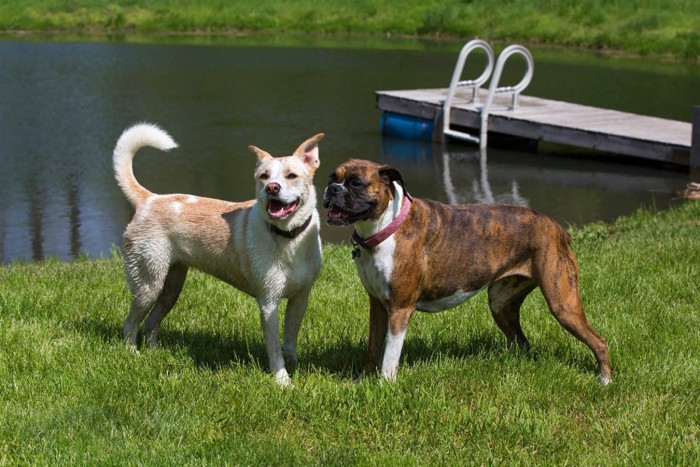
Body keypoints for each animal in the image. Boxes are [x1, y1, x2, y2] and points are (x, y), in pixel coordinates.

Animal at [113, 122, 326, 386]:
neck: (288, 237)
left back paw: (154, 353)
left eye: (292, 176)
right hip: (148, 283)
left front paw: (295, 365)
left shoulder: (301, 298)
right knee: (130, 324)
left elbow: (290, 341)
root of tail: (148, 200)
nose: (271, 188)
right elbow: (275, 348)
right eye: (263, 176)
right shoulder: (268, 302)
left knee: (152, 322)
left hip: (172, 285)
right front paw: (282, 381)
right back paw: (133, 355)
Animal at [326, 159, 608, 386]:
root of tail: (557, 227)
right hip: (501, 304)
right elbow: (373, 346)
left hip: (563, 305)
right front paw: (362, 381)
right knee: (521, 342)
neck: (387, 227)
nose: (332, 189)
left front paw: (385, 386)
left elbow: (389, 354)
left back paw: (604, 380)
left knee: (599, 341)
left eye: (356, 183)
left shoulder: (400, 309)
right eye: (332, 177)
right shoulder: (377, 305)